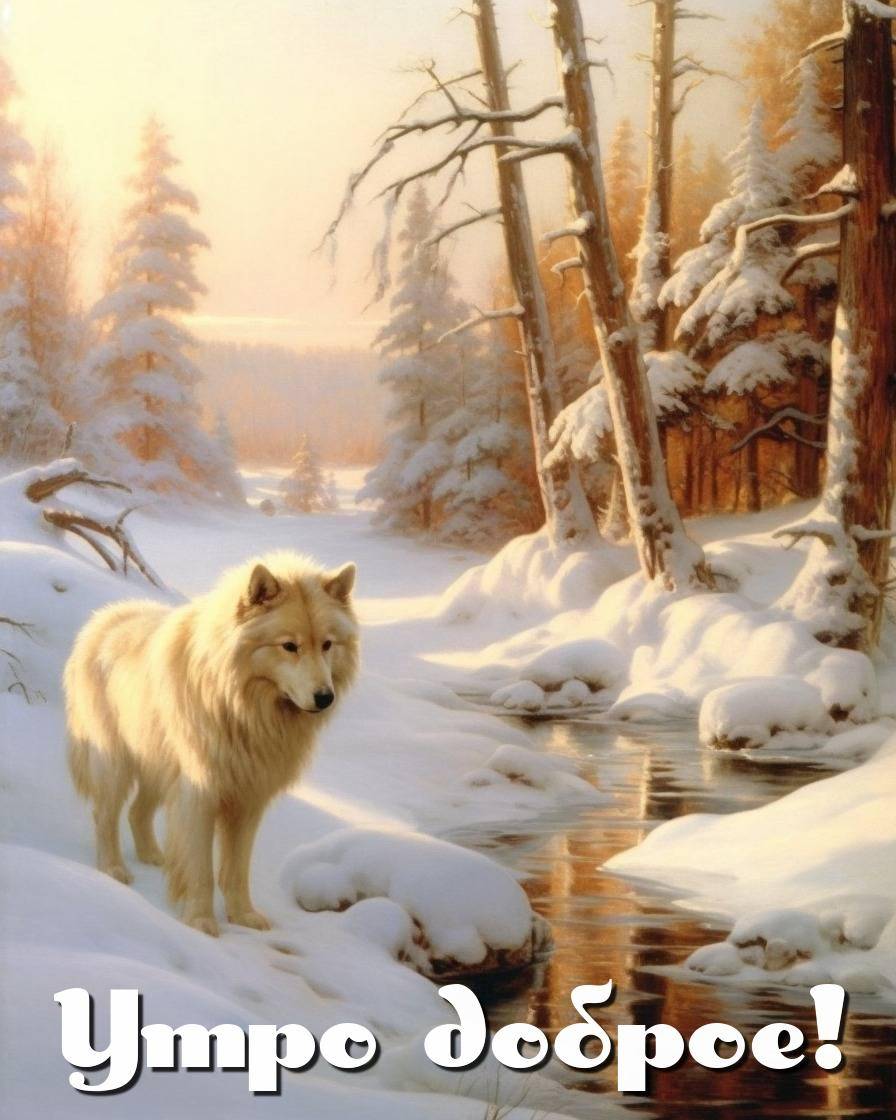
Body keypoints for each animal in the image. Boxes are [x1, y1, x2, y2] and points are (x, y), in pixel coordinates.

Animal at [64, 552, 359, 936]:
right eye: (289, 646)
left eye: (327, 645)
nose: (325, 698)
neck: (240, 708)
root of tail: (103, 619)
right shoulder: (200, 795)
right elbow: (201, 870)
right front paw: (201, 923)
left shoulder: (247, 801)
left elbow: (236, 871)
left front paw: (244, 917)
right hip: (116, 765)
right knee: (105, 814)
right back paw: (113, 869)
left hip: (160, 769)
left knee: (137, 812)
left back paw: (154, 857)